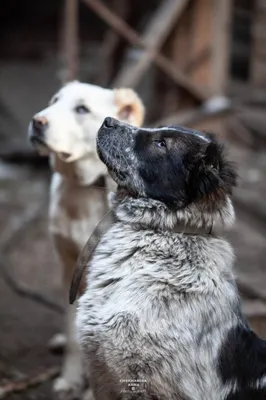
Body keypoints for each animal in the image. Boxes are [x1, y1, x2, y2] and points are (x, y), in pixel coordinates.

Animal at [28, 82, 144, 400]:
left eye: (81, 109)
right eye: (54, 100)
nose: (37, 121)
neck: (85, 189)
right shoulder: (69, 267)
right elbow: (72, 334)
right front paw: (70, 379)